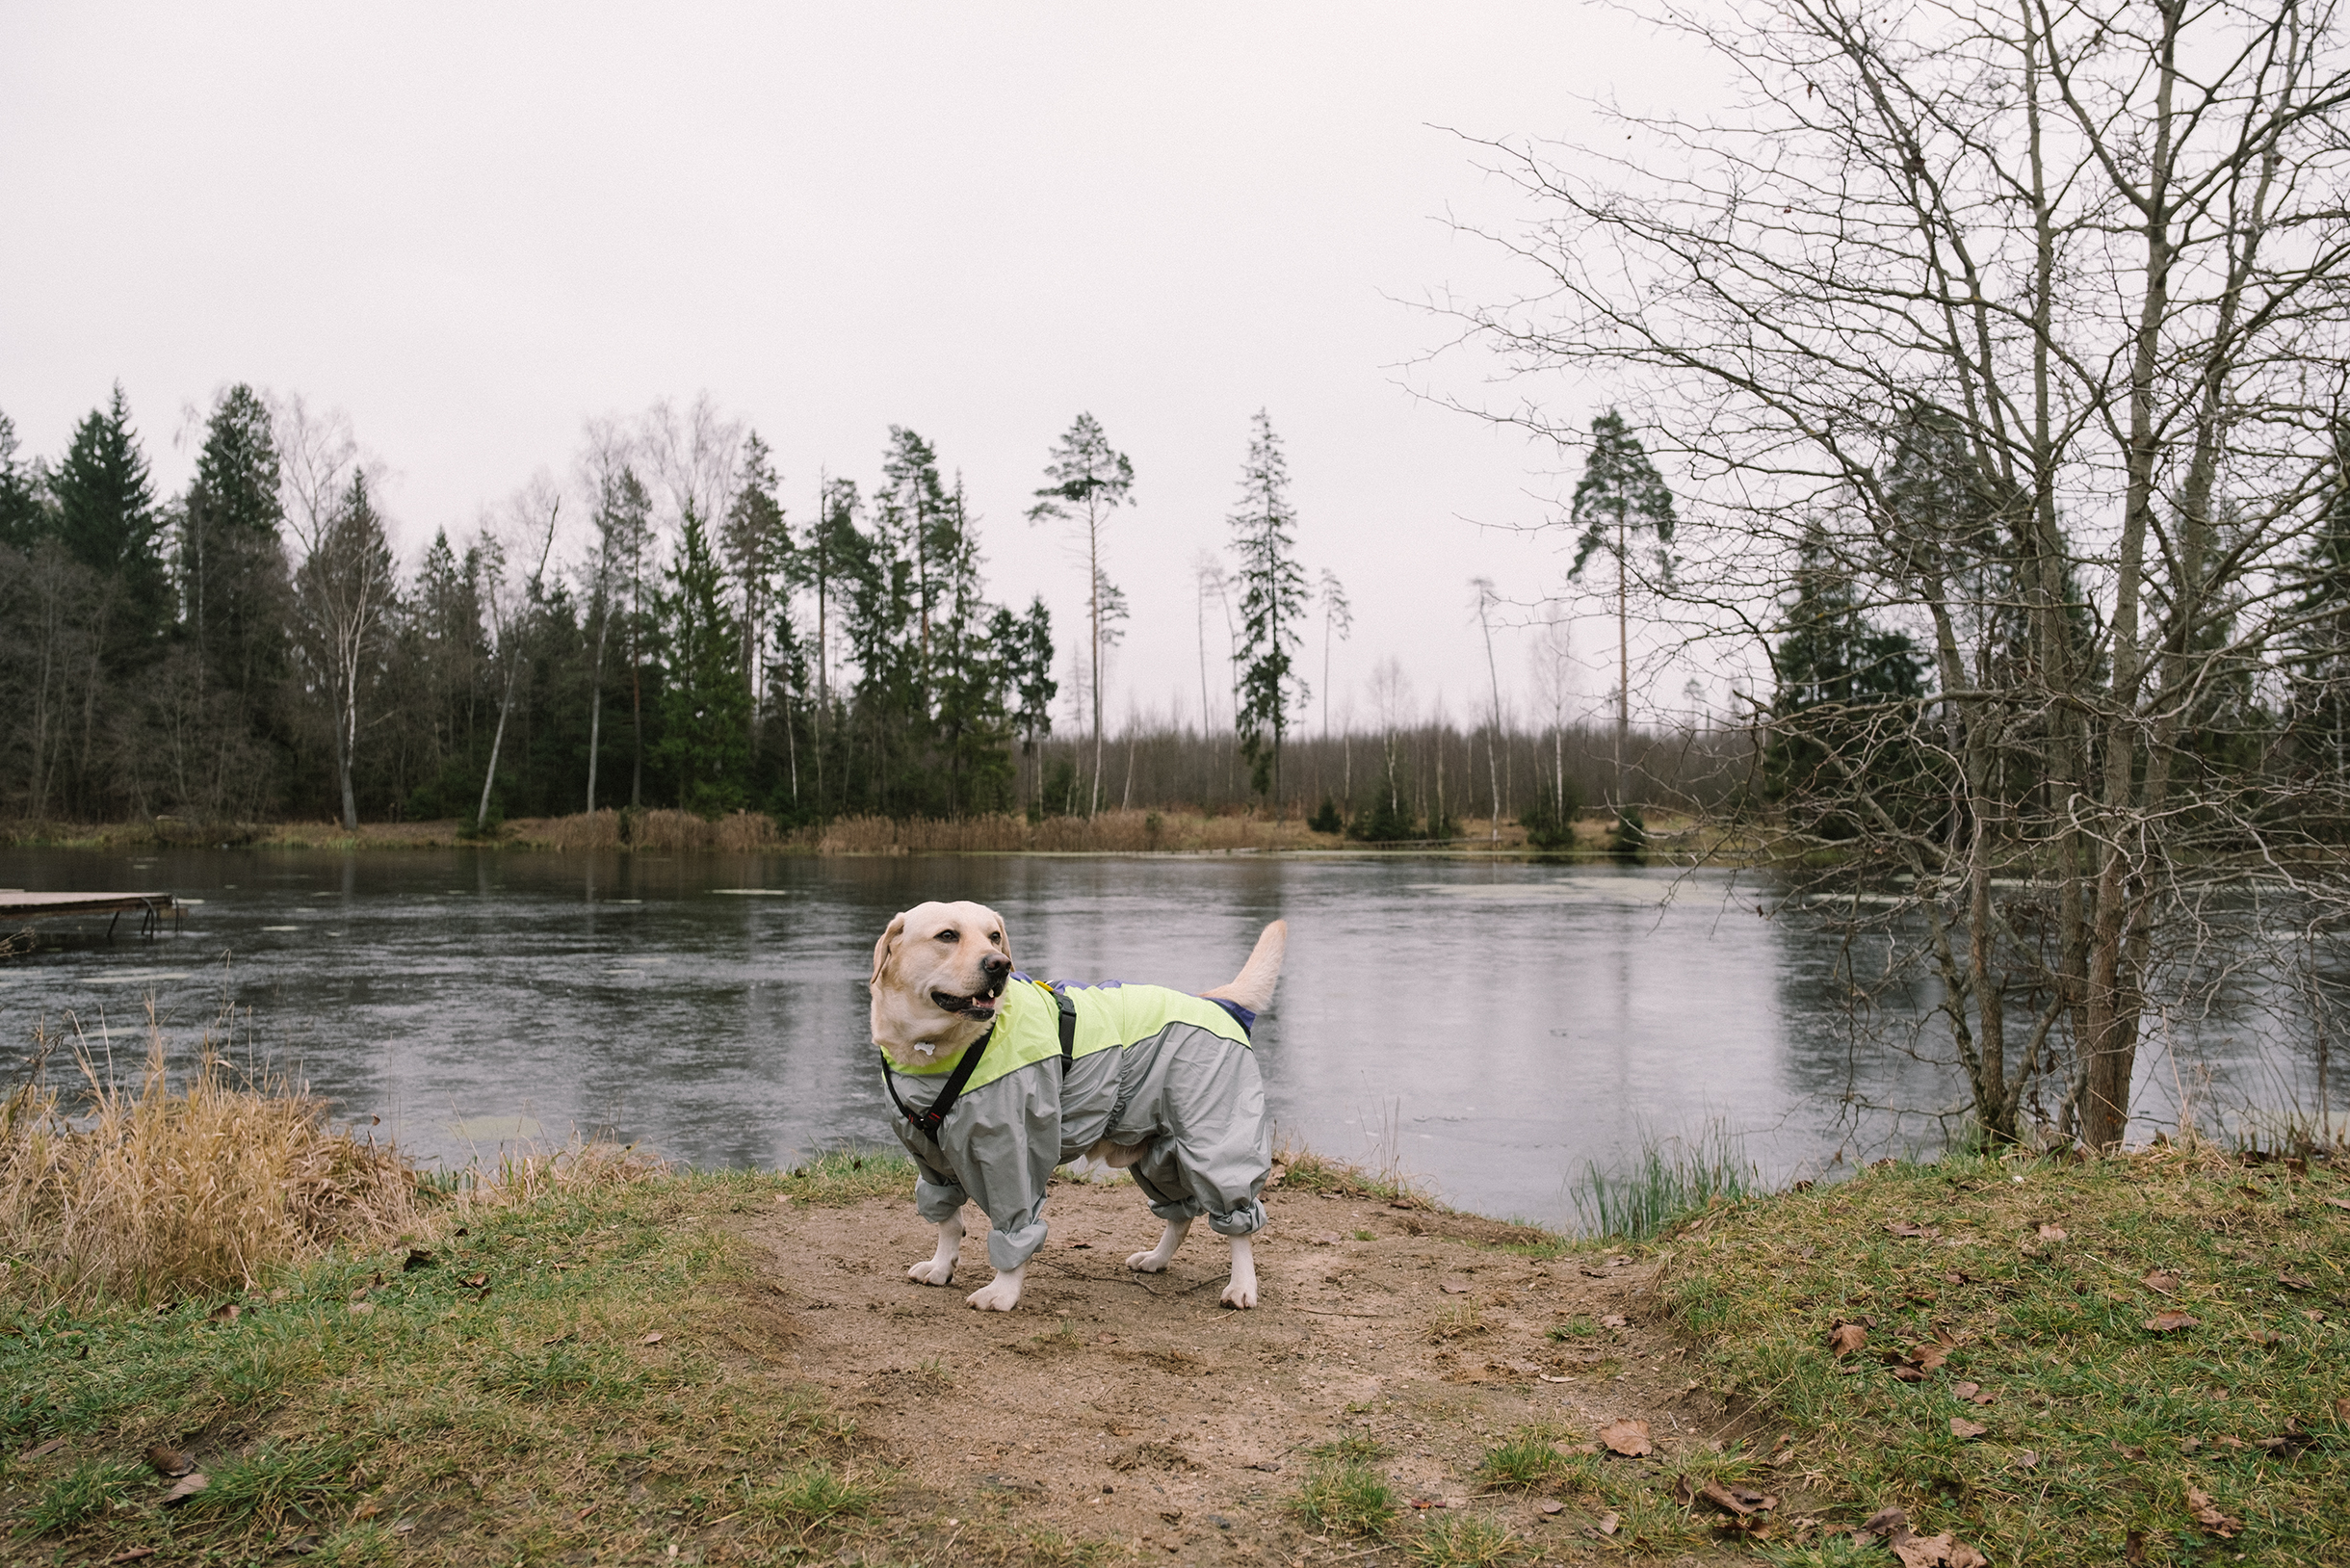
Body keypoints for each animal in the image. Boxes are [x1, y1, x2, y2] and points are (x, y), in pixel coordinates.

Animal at [869, 902, 1288, 1316]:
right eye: (947, 936)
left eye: (994, 936)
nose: (1000, 964)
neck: (935, 1053)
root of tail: (1212, 1000)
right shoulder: (930, 1159)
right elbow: (948, 1221)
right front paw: (941, 1267)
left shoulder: (1010, 1156)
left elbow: (1015, 1228)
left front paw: (1003, 1291)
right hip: (1156, 1151)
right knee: (1181, 1212)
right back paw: (1156, 1259)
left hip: (1214, 1141)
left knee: (1236, 1217)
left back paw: (1242, 1286)